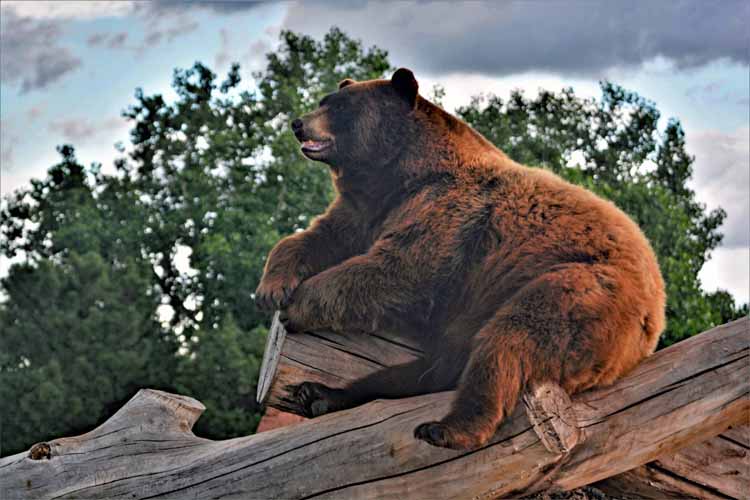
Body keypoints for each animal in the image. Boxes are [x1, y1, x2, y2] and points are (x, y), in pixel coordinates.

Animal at [255, 68, 666, 450]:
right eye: (325, 100)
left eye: (339, 107)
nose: (298, 123)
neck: (401, 171)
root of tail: (654, 317)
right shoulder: (370, 207)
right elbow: (320, 237)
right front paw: (272, 288)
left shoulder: (448, 210)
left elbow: (400, 269)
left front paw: (296, 305)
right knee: (437, 368)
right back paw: (321, 394)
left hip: (578, 288)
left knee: (510, 341)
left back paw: (447, 428)